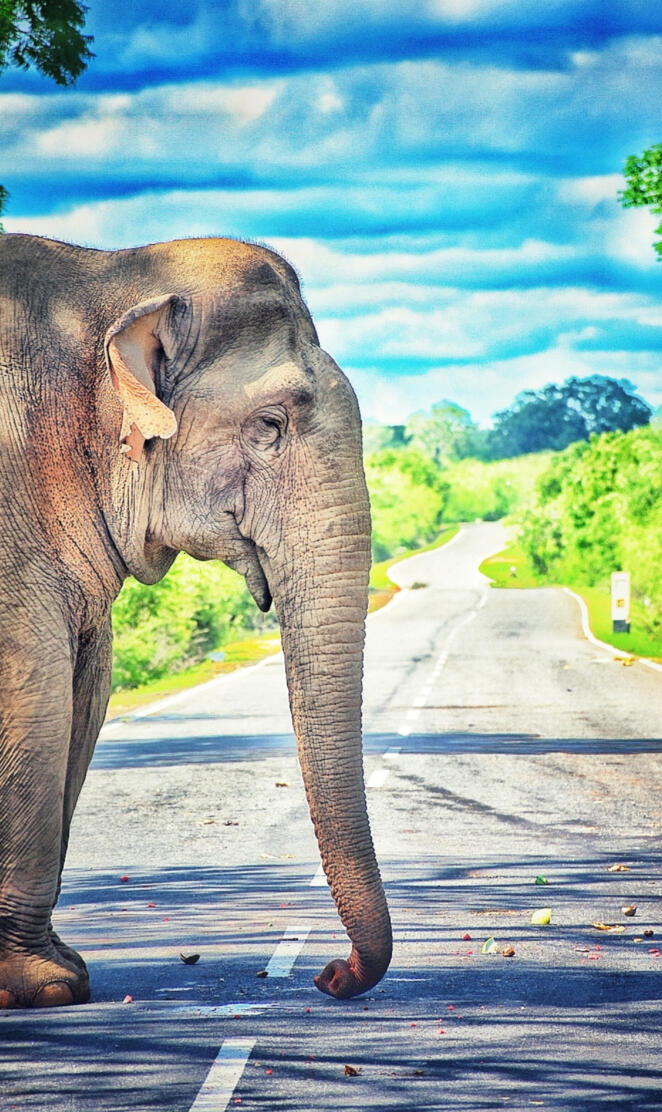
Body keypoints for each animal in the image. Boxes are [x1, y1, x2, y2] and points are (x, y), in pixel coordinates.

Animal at [0, 233, 392, 1008]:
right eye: (271, 425)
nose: (330, 973)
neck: (111, 274)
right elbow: (35, 697)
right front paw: (44, 988)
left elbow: (84, 697)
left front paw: (60, 971)